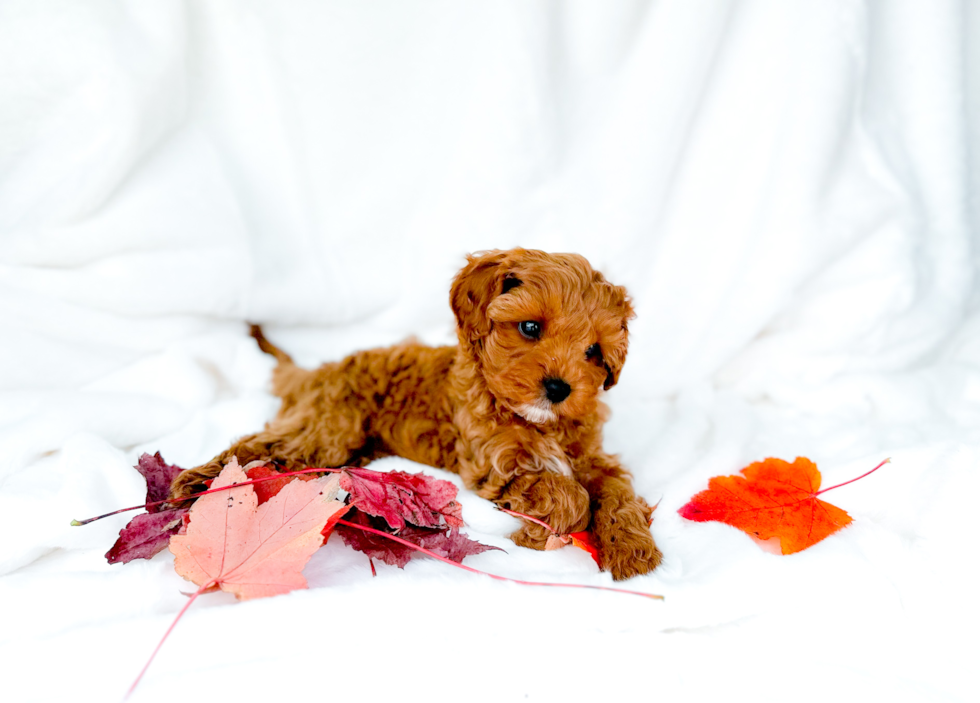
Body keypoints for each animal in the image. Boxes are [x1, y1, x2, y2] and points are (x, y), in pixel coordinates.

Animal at [174, 250, 668, 580]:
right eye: (530, 327)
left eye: (594, 352)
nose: (561, 389)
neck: (535, 420)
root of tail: (319, 372)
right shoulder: (495, 464)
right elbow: (569, 495)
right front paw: (536, 537)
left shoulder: (594, 458)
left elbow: (617, 492)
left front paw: (633, 550)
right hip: (326, 428)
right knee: (257, 447)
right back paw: (196, 485)